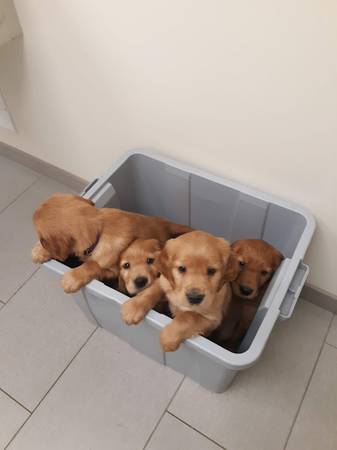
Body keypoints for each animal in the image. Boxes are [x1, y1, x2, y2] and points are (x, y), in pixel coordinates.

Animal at [32, 194, 193, 294]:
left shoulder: (113, 271)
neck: (100, 230)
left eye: (41, 237)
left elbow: (93, 265)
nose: (40, 245)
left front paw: (72, 277)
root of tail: (166, 224)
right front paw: (39, 251)